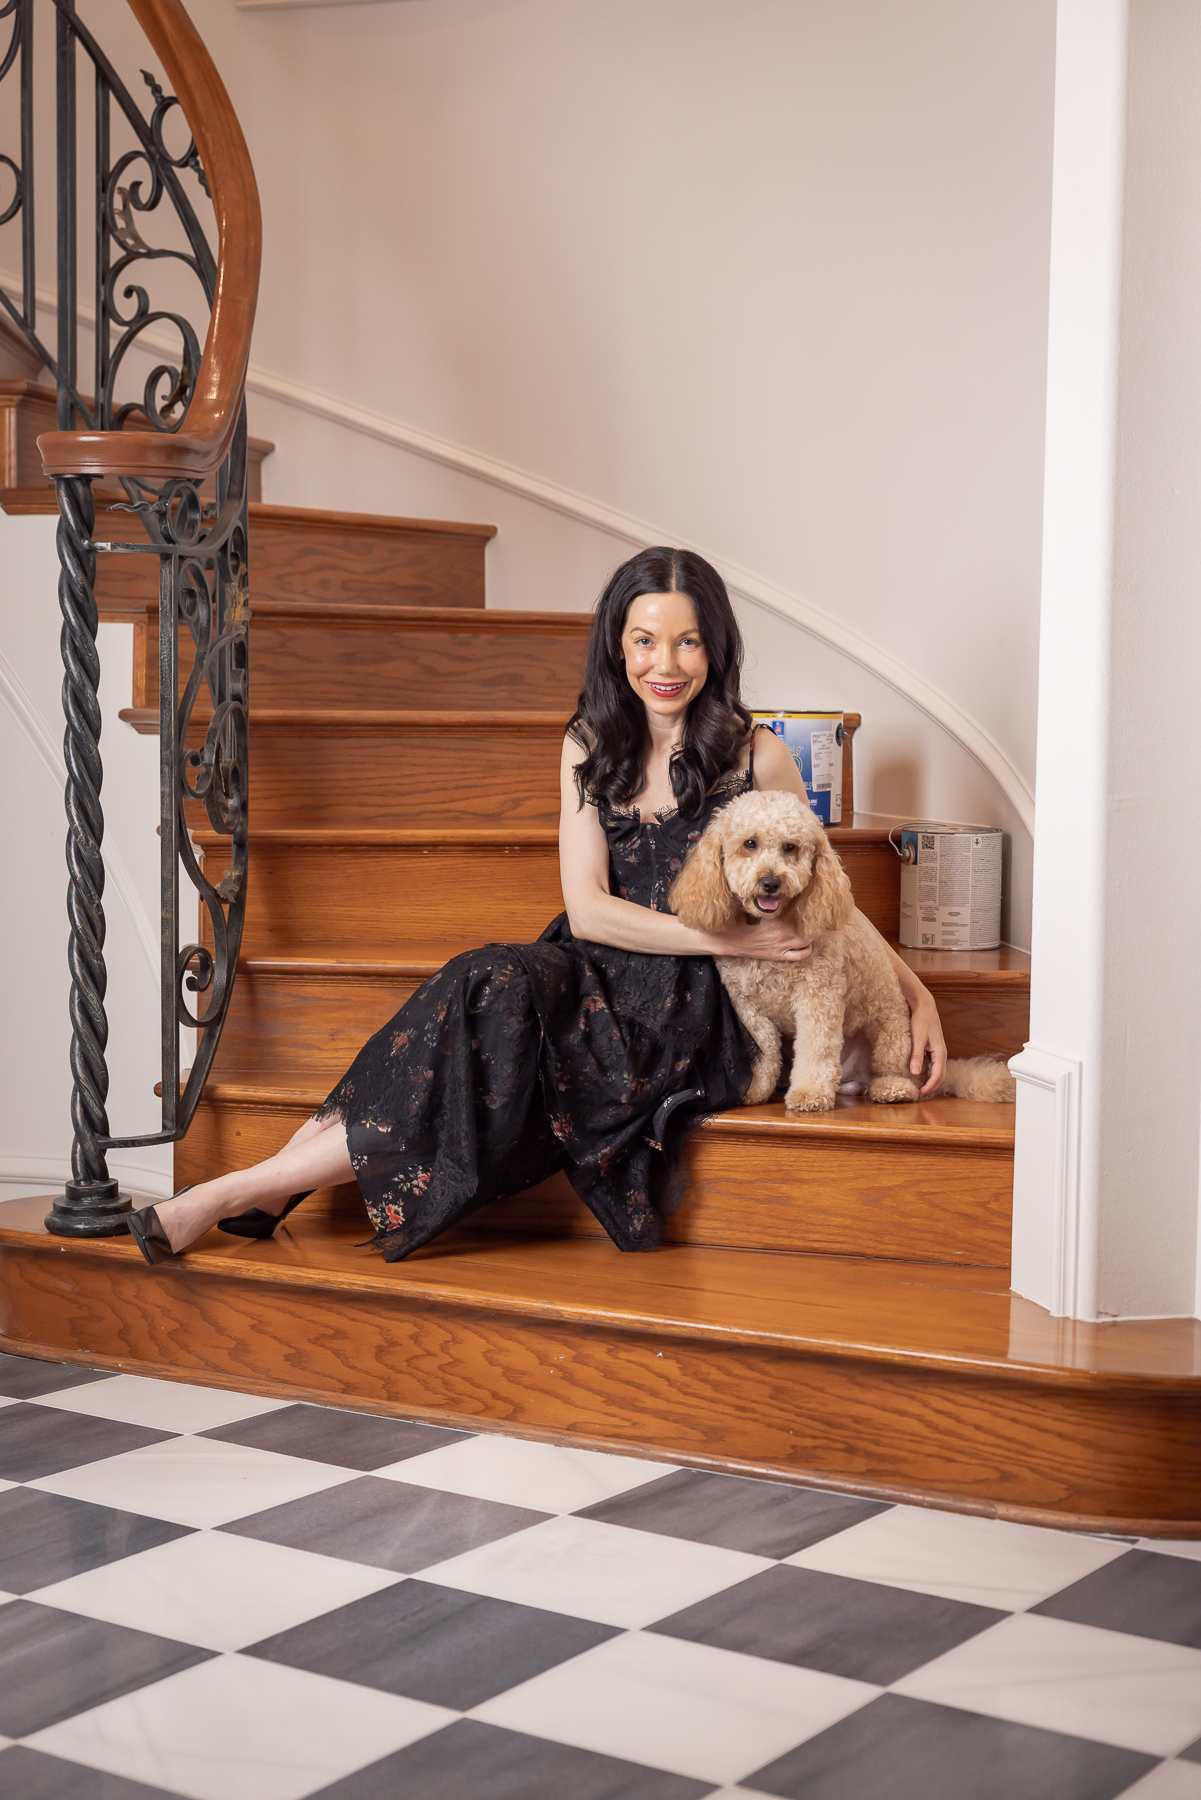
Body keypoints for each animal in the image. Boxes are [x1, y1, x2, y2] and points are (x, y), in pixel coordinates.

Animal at [673, 788, 1022, 1108]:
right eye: (750, 844)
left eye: (790, 847)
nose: (771, 882)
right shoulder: (747, 1006)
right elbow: (765, 1052)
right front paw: (755, 1089)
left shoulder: (818, 997)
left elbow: (815, 1049)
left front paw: (809, 1093)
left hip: (892, 1033)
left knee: (899, 1074)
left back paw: (892, 1089)